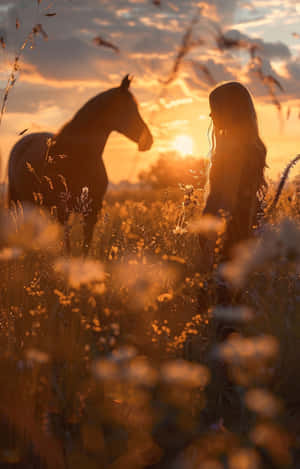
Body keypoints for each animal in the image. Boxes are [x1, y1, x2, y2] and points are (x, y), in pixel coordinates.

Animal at [8, 75, 154, 254]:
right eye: (127, 109)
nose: (148, 141)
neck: (80, 156)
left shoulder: (92, 211)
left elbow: (86, 246)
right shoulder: (63, 211)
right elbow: (67, 246)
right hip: (19, 203)